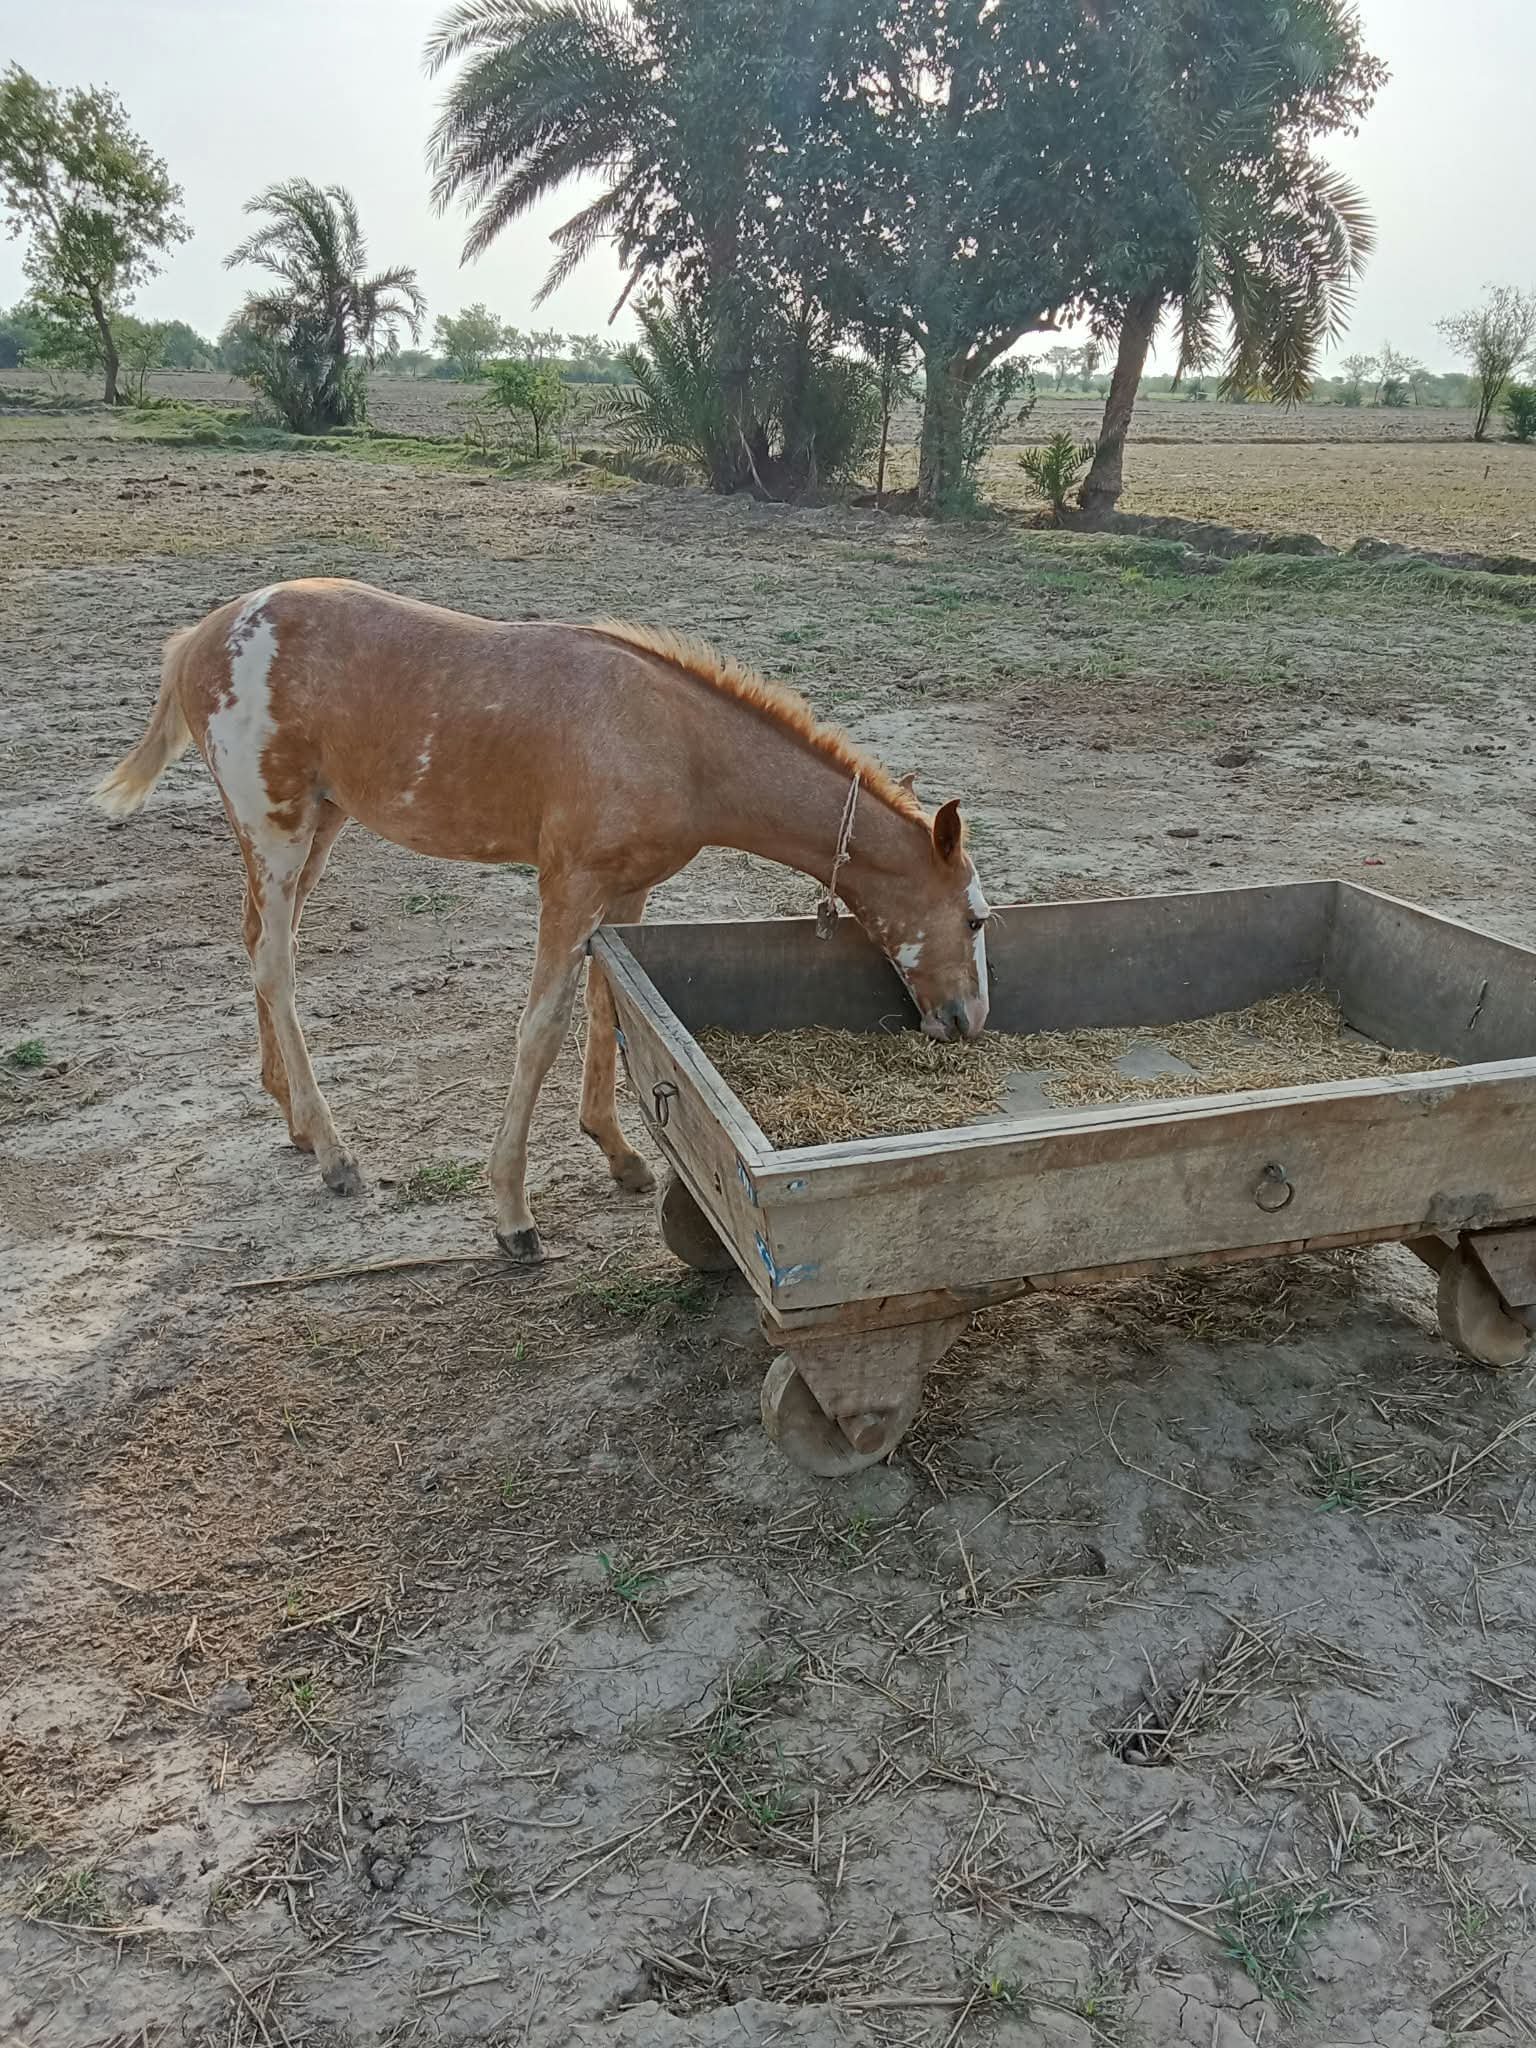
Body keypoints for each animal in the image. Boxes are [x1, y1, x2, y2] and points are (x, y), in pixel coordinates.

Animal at [94, 579, 992, 1259]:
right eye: (978, 919)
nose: (967, 1021)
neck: (673, 740)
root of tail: (200, 637)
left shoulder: (625, 893)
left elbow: (605, 1006)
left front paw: (620, 1154)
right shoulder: (565, 888)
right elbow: (542, 1029)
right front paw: (512, 1215)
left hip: (318, 825)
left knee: (254, 945)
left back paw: (294, 1122)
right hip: (275, 827)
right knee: (276, 966)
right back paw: (336, 1152)